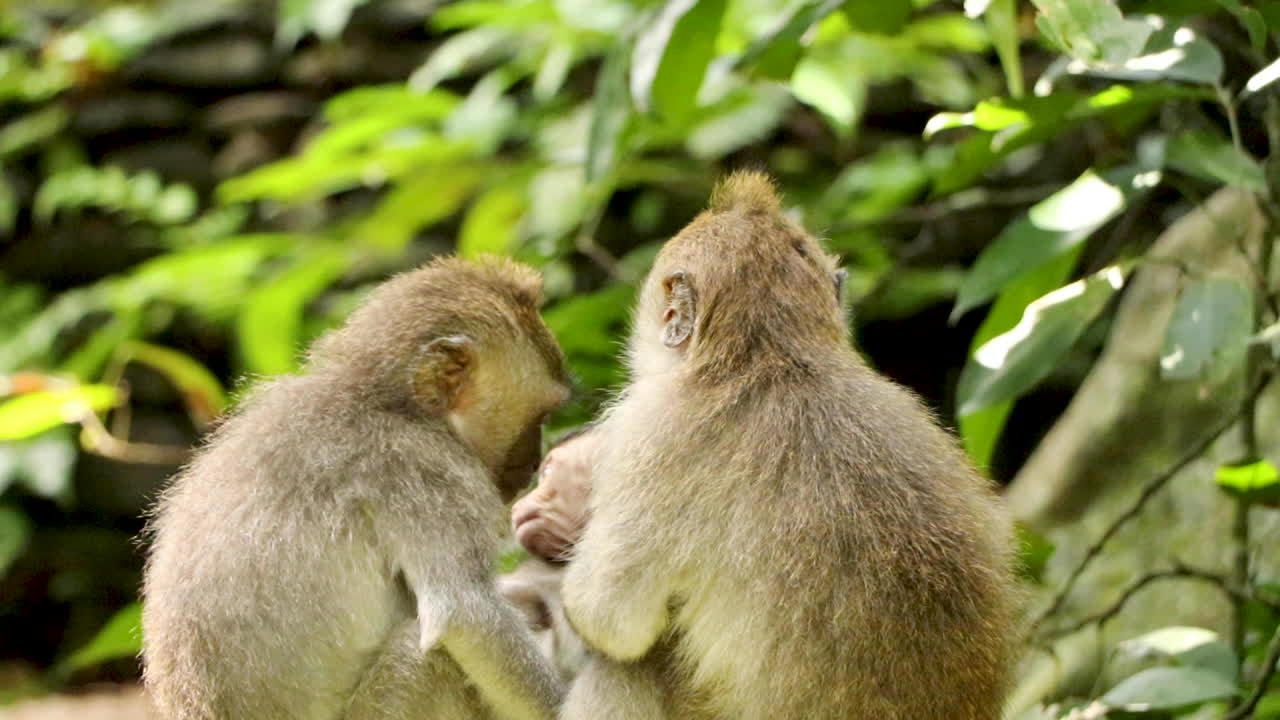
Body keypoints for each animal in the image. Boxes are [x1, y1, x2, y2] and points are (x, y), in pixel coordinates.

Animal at [141, 257, 569, 720]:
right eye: (539, 416)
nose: (536, 459)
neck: (384, 401)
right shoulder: (429, 472)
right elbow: (465, 612)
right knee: (429, 656)